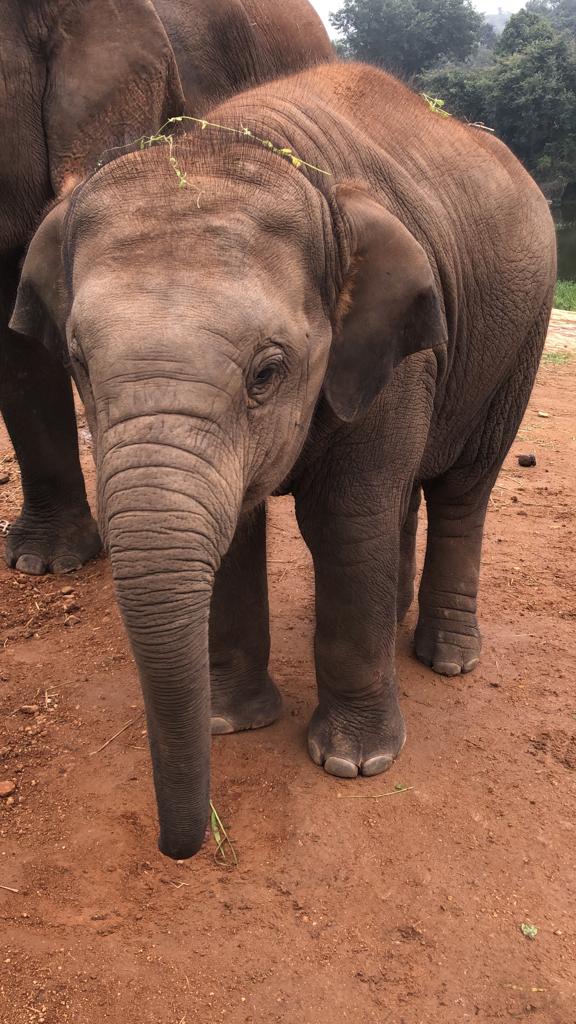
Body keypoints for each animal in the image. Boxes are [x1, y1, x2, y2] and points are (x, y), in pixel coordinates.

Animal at [10, 60, 556, 859]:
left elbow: (345, 522)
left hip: (518, 340)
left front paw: (355, 764)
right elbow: (239, 531)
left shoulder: (394, 353)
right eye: (78, 361)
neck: (251, 139)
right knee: (405, 496)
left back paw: (447, 659)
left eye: (267, 373)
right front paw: (230, 723)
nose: (183, 848)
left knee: (463, 486)